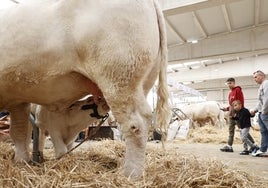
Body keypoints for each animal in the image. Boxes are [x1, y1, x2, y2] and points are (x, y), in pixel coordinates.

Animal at [0, 0, 170, 178]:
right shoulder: (18, 100)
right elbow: (19, 132)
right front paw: (22, 161)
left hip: (119, 76)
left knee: (136, 123)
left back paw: (130, 174)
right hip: (141, 83)